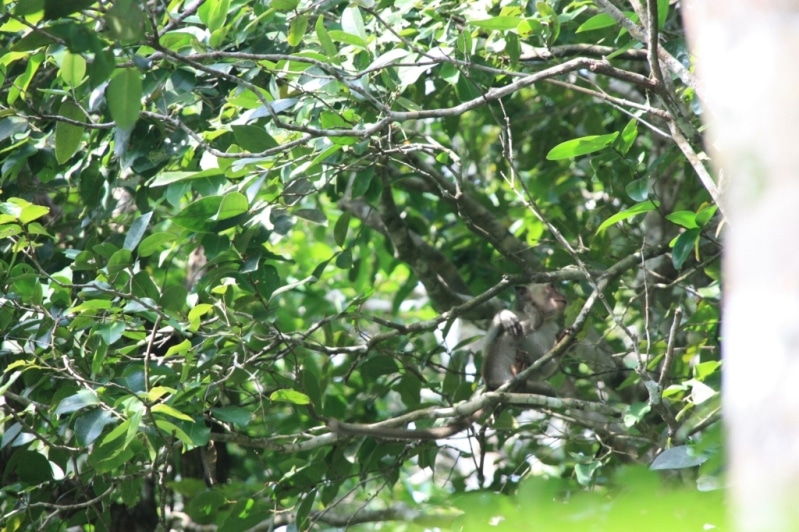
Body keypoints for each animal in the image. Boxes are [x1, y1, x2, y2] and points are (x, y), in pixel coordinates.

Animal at [326, 282, 568, 440]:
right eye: (551, 287)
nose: (563, 294)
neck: (540, 320)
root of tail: (493, 387)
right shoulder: (523, 318)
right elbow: (494, 337)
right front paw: (505, 316)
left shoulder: (551, 327)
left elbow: (546, 367)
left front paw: (565, 341)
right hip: (497, 371)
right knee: (506, 342)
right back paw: (515, 371)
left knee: (547, 391)